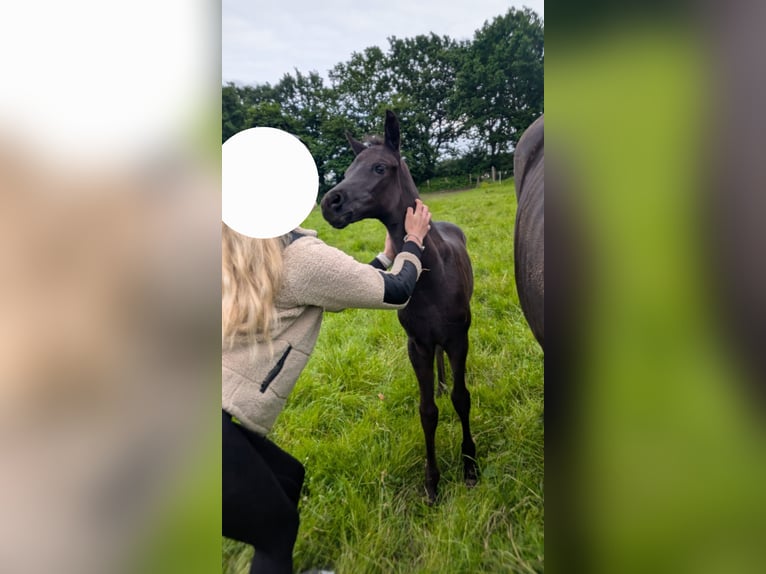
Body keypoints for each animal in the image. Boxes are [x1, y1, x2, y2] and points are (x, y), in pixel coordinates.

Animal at [320, 110, 476, 503]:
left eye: (380, 168)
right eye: (348, 169)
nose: (331, 203)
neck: (430, 274)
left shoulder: (459, 339)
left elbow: (462, 398)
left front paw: (470, 466)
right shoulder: (417, 345)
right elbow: (427, 411)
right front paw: (432, 483)